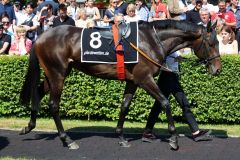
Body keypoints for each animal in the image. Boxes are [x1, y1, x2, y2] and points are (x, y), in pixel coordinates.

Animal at [19, 20, 222, 150]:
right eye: (212, 43)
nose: (218, 69)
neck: (150, 40)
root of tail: (41, 36)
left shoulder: (132, 81)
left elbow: (124, 106)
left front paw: (121, 137)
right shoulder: (144, 79)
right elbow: (165, 102)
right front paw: (173, 139)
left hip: (55, 74)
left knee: (37, 93)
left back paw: (29, 126)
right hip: (57, 74)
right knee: (53, 105)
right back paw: (67, 140)